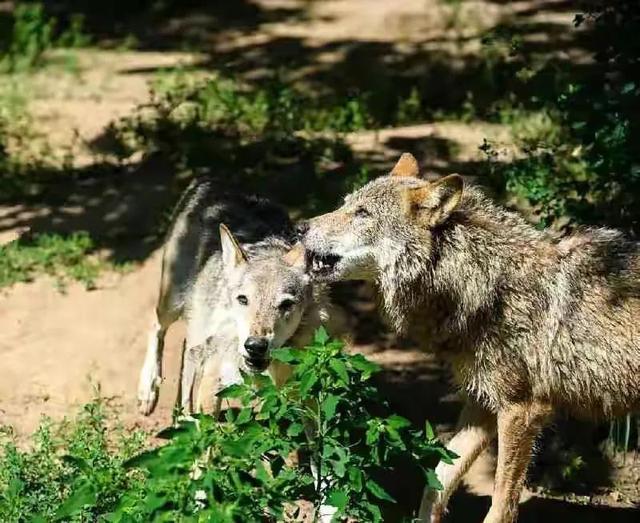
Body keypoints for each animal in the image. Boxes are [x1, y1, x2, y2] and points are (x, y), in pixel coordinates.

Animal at [300, 154, 640, 520]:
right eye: (344, 204)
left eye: (362, 213)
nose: (301, 228)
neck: (483, 283)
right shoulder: (482, 403)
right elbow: (437, 480)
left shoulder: (522, 411)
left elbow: (501, 506)